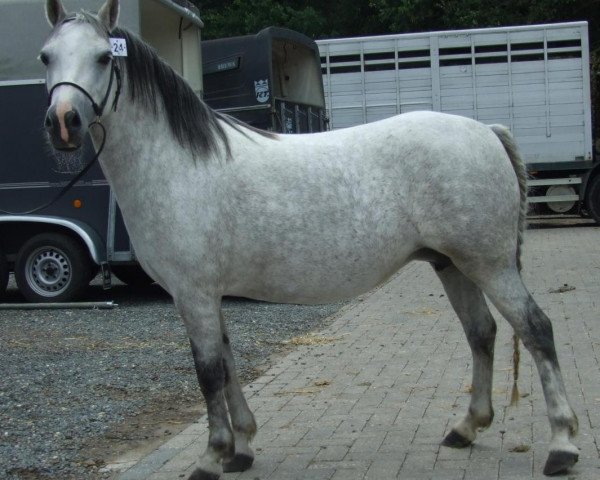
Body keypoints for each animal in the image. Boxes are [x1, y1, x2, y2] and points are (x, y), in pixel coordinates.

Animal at [39, 1, 580, 478]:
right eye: (46, 56)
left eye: (103, 57)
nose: (63, 122)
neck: (179, 166)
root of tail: (485, 131)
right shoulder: (210, 296)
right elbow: (227, 361)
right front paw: (241, 449)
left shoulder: (192, 294)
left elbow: (208, 371)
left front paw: (212, 457)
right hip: (452, 264)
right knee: (481, 333)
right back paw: (467, 428)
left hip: (489, 264)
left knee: (536, 329)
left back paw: (562, 446)